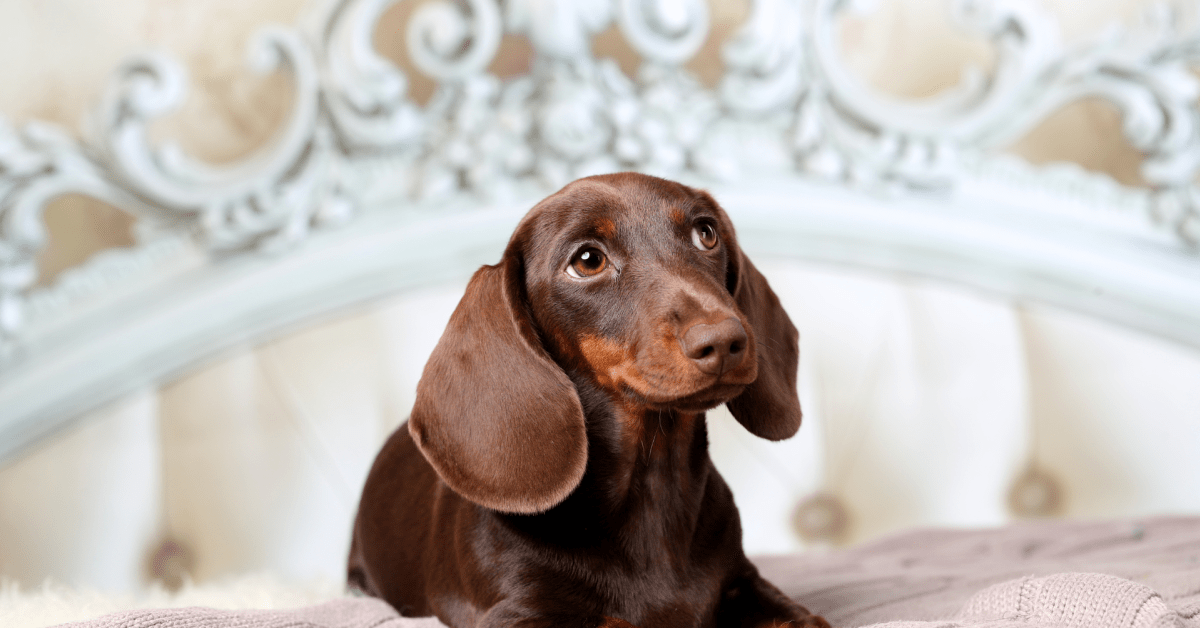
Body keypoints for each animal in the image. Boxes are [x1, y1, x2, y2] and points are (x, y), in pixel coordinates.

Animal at [350, 172, 830, 628]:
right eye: (587, 261)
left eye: (706, 233)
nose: (727, 341)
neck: (651, 483)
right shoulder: (513, 612)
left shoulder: (744, 583)